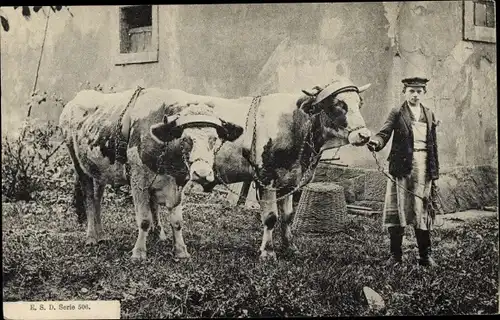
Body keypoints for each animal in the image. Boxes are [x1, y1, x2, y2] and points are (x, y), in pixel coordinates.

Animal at [59, 88, 243, 260]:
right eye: (185, 139)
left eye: (214, 139)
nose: (202, 173)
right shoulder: (138, 180)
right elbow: (145, 220)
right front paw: (139, 252)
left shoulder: (178, 183)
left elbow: (177, 221)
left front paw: (181, 251)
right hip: (79, 165)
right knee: (89, 199)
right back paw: (91, 237)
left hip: (98, 170)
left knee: (98, 199)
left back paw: (102, 235)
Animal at [151, 77, 372, 260]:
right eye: (338, 105)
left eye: (360, 103)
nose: (365, 135)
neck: (295, 124)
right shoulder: (267, 178)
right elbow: (271, 217)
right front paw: (268, 252)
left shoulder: (289, 181)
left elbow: (287, 217)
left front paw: (290, 247)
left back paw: (158, 234)